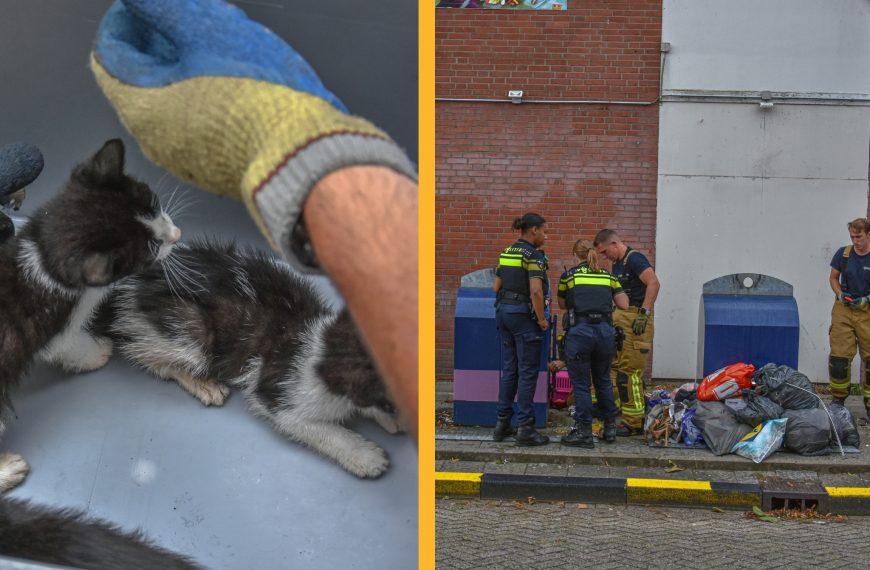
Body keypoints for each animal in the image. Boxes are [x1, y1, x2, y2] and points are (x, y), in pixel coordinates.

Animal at [0, 140, 180, 490]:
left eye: (153, 203)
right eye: (151, 248)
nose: (177, 234)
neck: (42, 256)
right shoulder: (58, 327)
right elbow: (68, 346)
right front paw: (95, 353)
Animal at [97, 241, 404, 480]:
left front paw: (393, 419)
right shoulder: (278, 393)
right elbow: (321, 430)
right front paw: (365, 455)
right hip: (190, 333)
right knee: (144, 353)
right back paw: (203, 383)